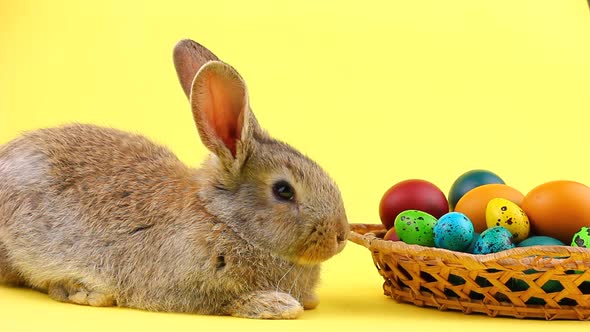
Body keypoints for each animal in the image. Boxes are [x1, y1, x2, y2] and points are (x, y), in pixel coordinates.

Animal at [0, 39, 352, 320]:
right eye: (283, 191)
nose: (341, 235)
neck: (223, 219)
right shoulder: (188, 285)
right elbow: (228, 301)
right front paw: (277, 305)